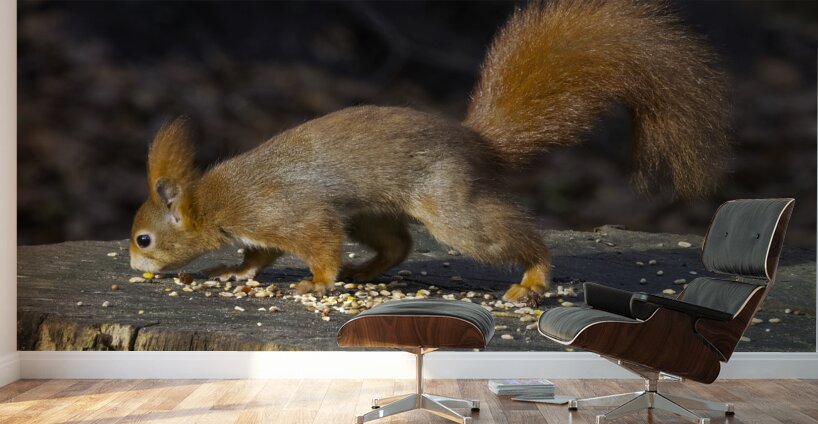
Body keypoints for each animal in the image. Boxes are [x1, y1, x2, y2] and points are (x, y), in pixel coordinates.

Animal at [129, 0, 730, 301]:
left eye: (143, 238)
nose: (136, 264)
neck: (214, 201)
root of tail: (474, 141)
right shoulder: (262, 230)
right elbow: (257, 257)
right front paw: (232, 273)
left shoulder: (286, 212)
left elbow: (317, 244)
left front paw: (317, 282)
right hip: (372, 213)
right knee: (399, 244)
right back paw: (366, 272)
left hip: (450, 205)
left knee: (506, 236)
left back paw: (532, 279)